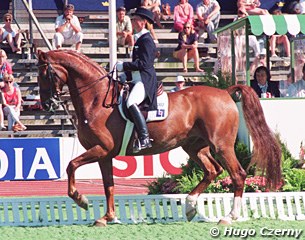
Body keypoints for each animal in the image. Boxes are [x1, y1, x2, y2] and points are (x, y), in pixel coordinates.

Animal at [36, 49, 280, 226]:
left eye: (44, 74)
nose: (47, 104)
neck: (96, 99)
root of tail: (225, 92)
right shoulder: (105, 155)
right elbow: (108, 186)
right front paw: (107, 217)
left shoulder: (101, 149)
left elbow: (71, 165)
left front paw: (81, 199)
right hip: (194, 147)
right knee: (213, 171)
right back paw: (190, 206)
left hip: (221, 146)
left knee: (238, 174)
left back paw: (228, 216)